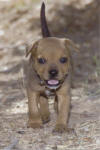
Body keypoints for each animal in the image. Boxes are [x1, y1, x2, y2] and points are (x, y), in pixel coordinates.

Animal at [25, 2, 78, 132]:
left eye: (63, 59)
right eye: (41, 60)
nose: (53, 72)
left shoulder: (64, 94)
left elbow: (63, 111)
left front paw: (61, 126)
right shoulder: (32, 90)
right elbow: (33, 108)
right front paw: (34, 123)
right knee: (43, 100)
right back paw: (44, 115)